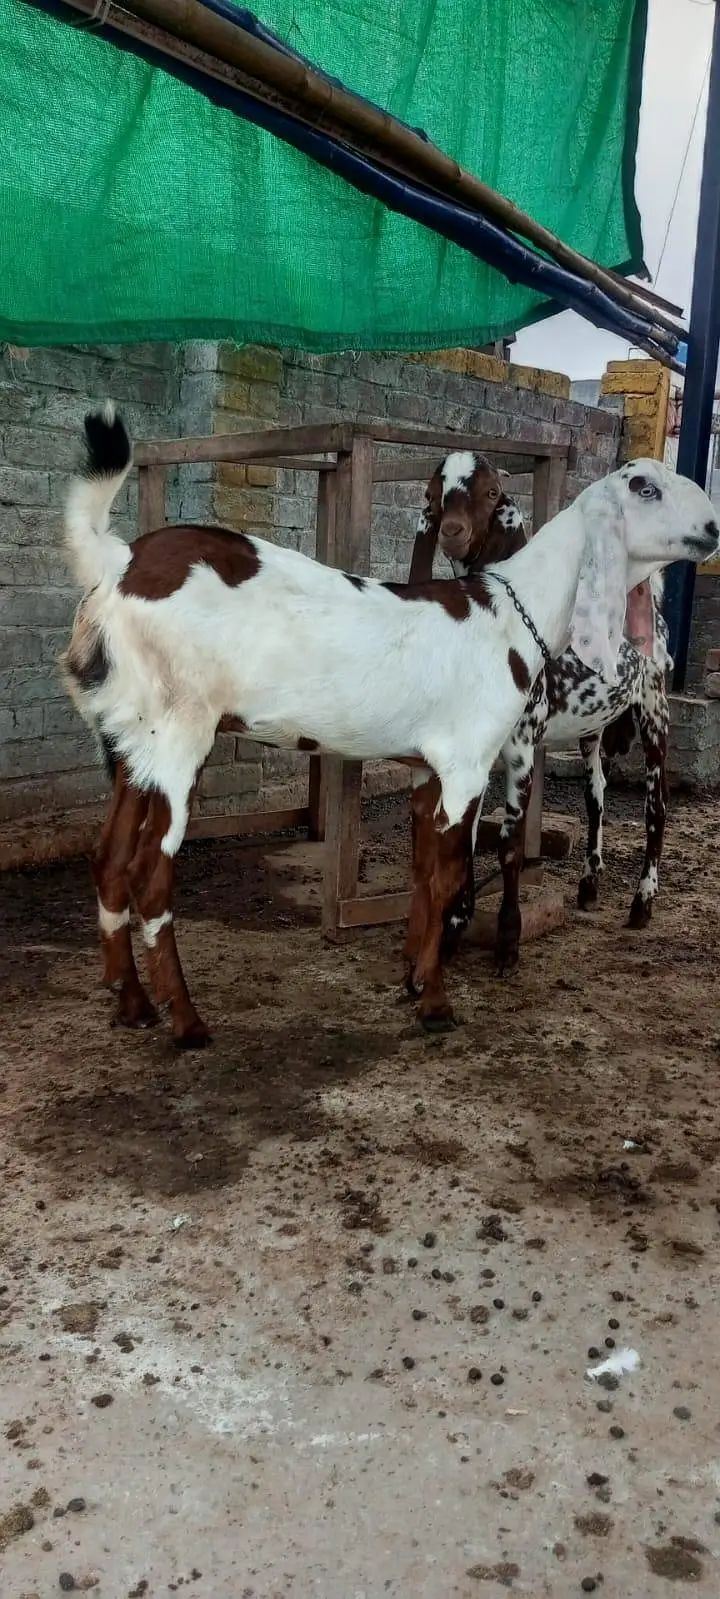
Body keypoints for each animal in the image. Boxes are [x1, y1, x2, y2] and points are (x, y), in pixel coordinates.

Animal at [414, 452, 675, 974]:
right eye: (434, 493)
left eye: (493, 492)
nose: (452, 530)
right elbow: (465, 839)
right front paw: (453, 932)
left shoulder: (520, 746)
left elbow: (509, 844)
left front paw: (507, 942)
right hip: (595, 724)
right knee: (596, 794)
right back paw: (590, 885)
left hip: (654, 704)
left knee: (655, 805)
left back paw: (642, 903)